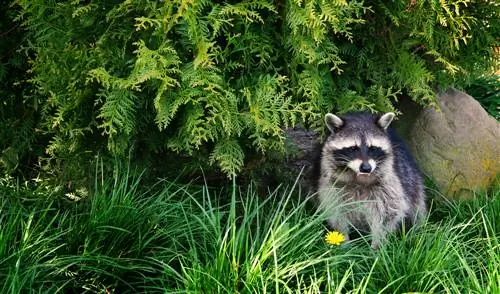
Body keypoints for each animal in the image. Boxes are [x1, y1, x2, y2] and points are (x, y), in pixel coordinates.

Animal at [312, 111, 426, 249]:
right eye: (353, 148)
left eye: (373, 148)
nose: (366, 168)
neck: (358, 177)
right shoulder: (332, 185)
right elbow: (336, 212)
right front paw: (343, 241)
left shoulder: (388, 184)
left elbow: (387, 213)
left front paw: (377, 245)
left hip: (411, 178)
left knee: (416, 207)